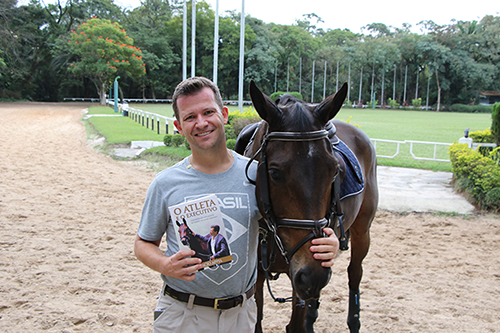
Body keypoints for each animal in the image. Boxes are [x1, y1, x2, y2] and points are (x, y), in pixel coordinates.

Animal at [236, 81, 376, 332]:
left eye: (335, 171)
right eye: (275, 173)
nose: (314, 276)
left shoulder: (301, 272)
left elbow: (295, 324)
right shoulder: (261, 277)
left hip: (362, 231)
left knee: (355, 272)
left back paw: (354, 320)